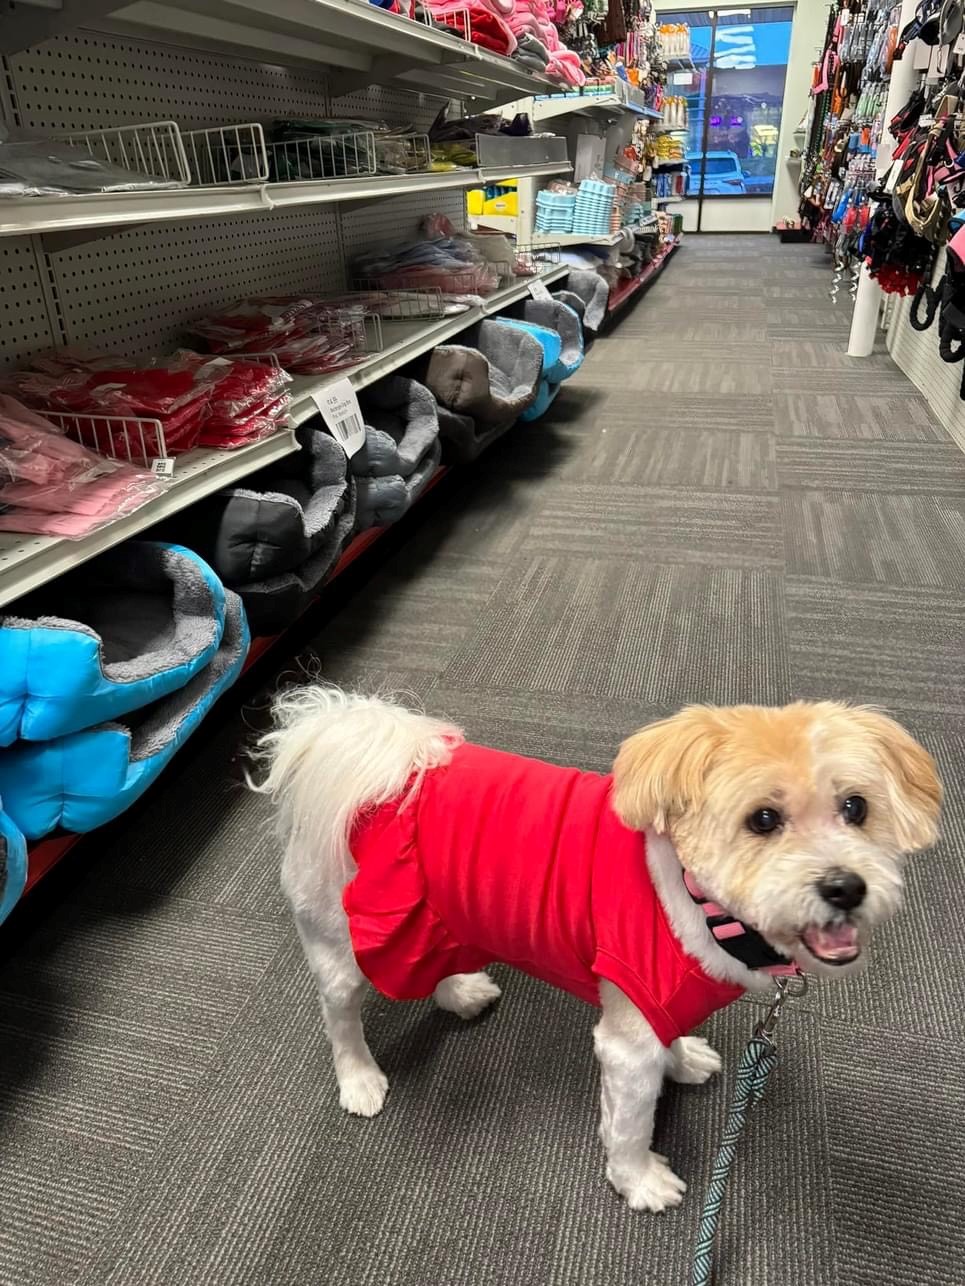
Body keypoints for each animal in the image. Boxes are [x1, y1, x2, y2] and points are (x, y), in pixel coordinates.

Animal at [250, 689, 946, 1208]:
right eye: (764, 819)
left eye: (855, 808)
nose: (845, 887)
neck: (695, 901)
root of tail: (351, 746)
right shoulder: (626, 1039)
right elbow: (629, 1123)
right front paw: (638, 1180)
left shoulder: (654, 1005)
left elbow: (669, 1043)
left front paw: (682, 1058)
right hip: (339, 942)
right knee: (339, 1015)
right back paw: (359, 1078)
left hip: (440, 917)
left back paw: (459, 991)